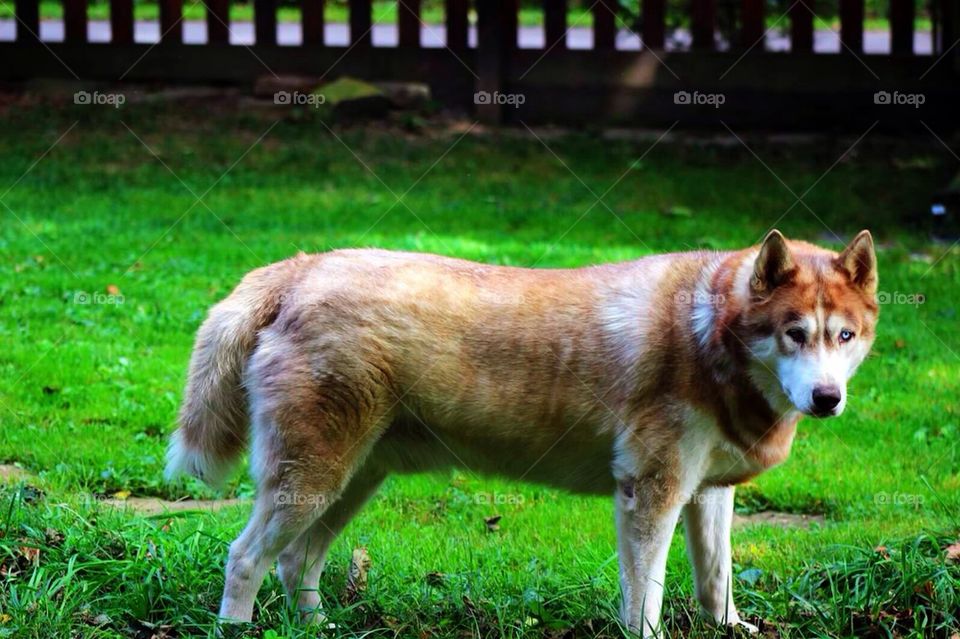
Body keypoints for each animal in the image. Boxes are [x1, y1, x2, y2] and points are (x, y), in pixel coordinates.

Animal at [165, 230, 876, 636]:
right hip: (313, 480)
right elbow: (644, 602)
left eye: (844, 335)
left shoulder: (707, 495)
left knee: (296, 562)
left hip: (349, 482)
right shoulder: (650, 495)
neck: (710, 336)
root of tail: (299, 267)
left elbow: (716, 582)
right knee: (246, 558)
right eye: (794, 333)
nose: (827, 398)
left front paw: (730, 626)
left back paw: (317, 629)